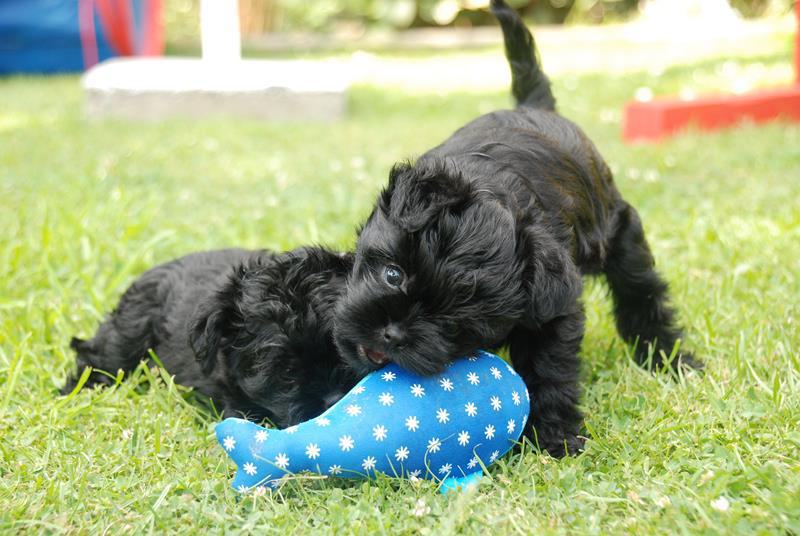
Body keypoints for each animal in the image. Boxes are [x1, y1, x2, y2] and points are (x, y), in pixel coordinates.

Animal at [333, 0, 702, 457]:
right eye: (393, 274)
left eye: (456, 325)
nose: (395, 333)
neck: (493, 184)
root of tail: (538, 107)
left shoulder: (555, 308)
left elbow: (549, 369)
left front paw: (554, 434)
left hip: (622, 234)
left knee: (641, 293)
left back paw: (670, 359)